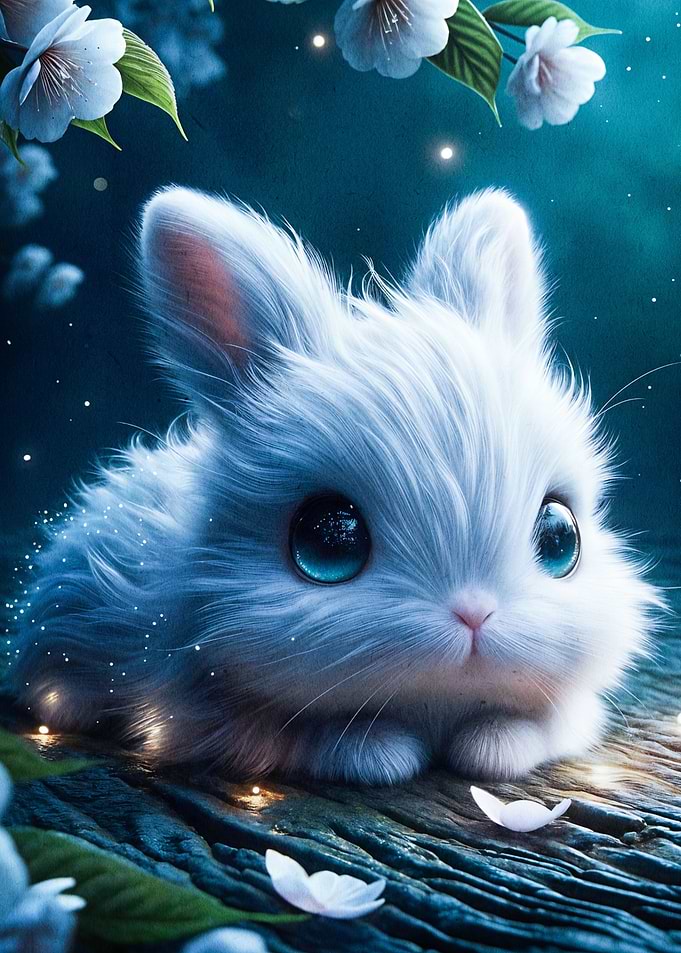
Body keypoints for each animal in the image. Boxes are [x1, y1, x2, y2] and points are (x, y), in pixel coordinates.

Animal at [9, 186, 661, 786]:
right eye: (326, 543)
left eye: (560, 539)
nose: (475, 615)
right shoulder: (195, 707)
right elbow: (295, 738)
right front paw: (384, 754)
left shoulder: (573, 710)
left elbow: (541, 727)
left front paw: (490, 749)